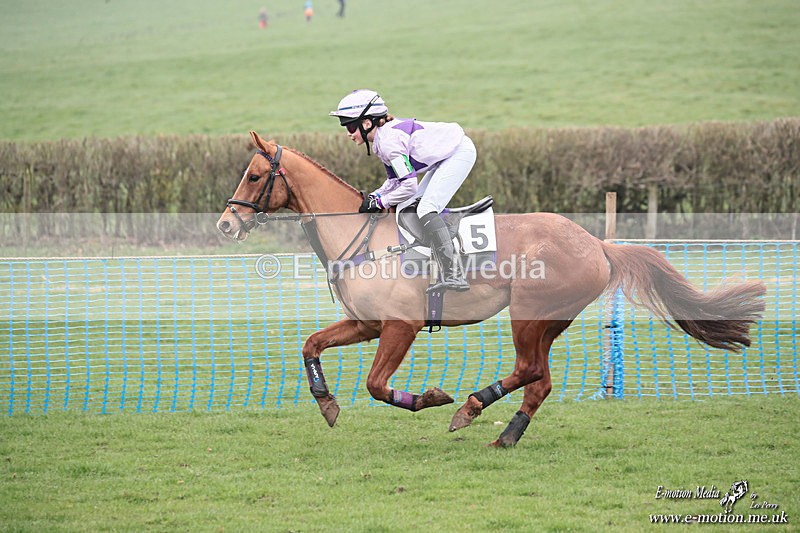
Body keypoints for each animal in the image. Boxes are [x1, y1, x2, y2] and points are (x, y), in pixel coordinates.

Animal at [216, 131, 766, 447]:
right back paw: (506, 434)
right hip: (548, 321)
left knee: (528, 370)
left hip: (529, 312)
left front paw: (430, 397)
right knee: (540, 380)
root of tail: (597, 243)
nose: (225, 224)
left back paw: (470, 407)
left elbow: (375, 385)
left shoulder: (400, 326)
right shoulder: (366, 323)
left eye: (256, 175)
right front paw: (326, 403)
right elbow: (311, 344)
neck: (362, 238)